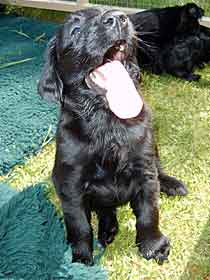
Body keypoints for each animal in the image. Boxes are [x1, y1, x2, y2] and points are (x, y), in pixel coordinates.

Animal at [37, 7, 187, 266]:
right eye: (75, 30)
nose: (118, 17)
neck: (107, 120)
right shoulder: (69, 184)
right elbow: (79, 225)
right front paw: (81, 260)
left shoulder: (144, 169)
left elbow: (149, 212)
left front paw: (153, 246)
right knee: (105, 209)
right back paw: (107, 229)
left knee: (159, 169)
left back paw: (172, 184)